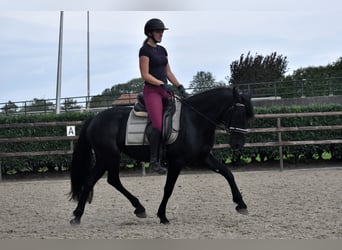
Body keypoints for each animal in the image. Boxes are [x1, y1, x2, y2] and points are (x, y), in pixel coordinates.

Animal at [69, 86, 254, 225]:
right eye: (238, 113)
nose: (238, 144)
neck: (194, 119)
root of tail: (94, 118)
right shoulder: (176, 162)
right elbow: (168, 188)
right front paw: (163, 216)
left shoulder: (203, 157)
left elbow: (227, 173)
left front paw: (241, 204)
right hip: (109, 156)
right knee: (102, 180)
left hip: (106, 158)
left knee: (102, 181)